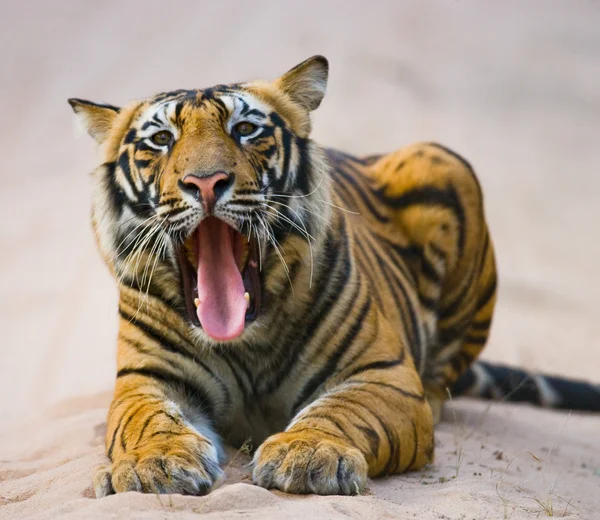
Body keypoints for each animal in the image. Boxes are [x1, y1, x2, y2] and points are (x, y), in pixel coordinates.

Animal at [68, 54, 596, 498]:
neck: (245, 340)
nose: (205, 181)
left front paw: (306, 454)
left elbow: (344, 411)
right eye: (161, 140)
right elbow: (147, 420)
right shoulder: (146, 379)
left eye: (245, 129)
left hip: (442, 162)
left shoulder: (381, 374)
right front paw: (153, 464)